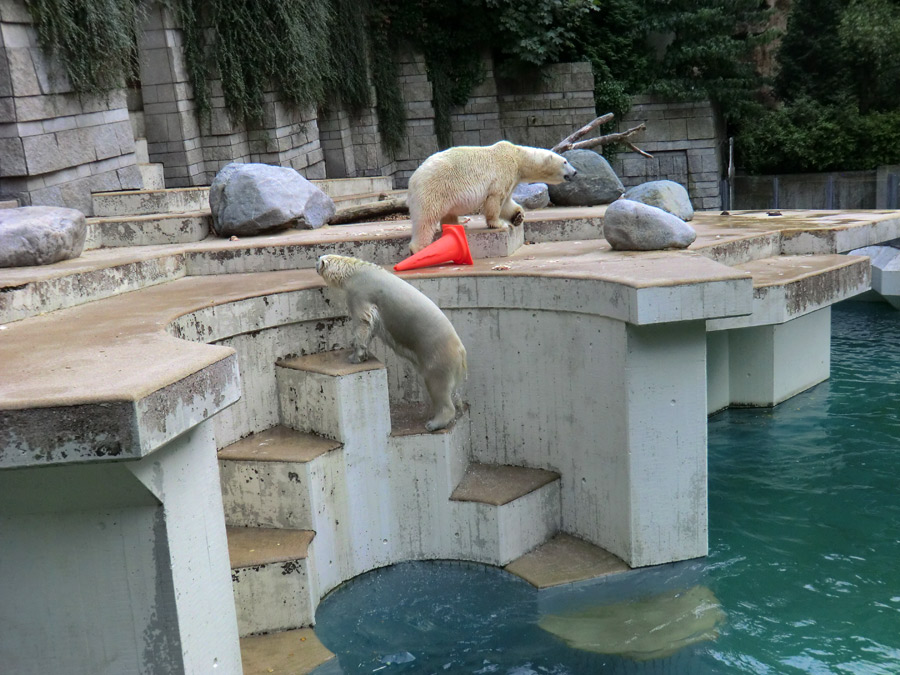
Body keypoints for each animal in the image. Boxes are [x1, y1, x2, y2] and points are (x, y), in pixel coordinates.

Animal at [316, 254, 468, 434]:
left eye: (318, 261)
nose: (315, 264)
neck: (355, 270)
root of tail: (461, 352)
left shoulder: (360, 291)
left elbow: (363, 321)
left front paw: (354, 356)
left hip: (437, 357)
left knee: (438, 385)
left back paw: (434, 423)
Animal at [406, 140, 576, 254]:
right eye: (565, 161)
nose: (575, 172)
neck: (518, 156)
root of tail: (412, 180)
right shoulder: (504, 171)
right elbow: (496, 199)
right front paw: (499, 224)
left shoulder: (513, 178)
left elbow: (507, 202)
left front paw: (518, 216)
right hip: (434, 189)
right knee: (426, 219)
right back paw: (419, 248)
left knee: (448, 213)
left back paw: (458, 225)